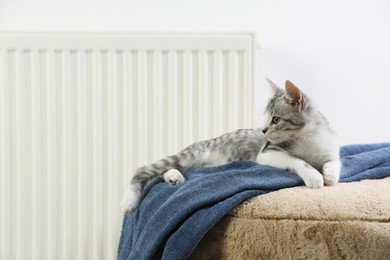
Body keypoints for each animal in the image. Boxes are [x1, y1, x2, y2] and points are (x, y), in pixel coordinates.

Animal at [120, 79, 340, 213]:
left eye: (276, 119)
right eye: (266, 118)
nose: (262, 130)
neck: (308, 139)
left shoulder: (331, 148)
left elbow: (334, 162)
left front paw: (330, 175)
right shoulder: (267, 152)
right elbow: (297, 160)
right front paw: (314, 176)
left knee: (165, 172)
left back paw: (174, 177)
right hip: (190, 155)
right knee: (144, 170)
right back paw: (130, 201)